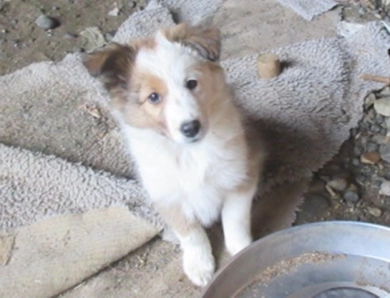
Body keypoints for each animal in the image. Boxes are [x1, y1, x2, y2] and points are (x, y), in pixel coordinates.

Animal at [82, 23, 266, 286]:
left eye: (191, 83)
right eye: (153, 97)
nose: (191, 128)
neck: (190, 153)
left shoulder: (239, 176)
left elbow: (235, 219)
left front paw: (243, 250)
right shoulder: (167, 196)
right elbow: (191, 233)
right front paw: (200, 265)